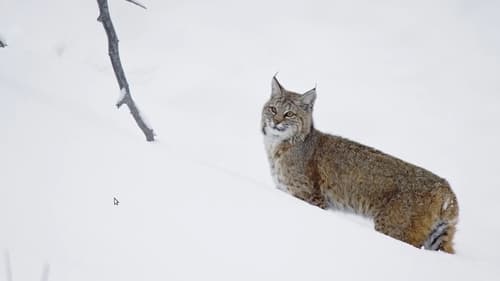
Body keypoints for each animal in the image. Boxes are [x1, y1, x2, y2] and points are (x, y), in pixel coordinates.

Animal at [262, 75, 460, 253]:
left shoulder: (310, 197)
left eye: (289, 114)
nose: (275, 122)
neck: (278, 144)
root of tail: (445, 187)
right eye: (272, 109)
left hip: (394, 228)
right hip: (437, 236)